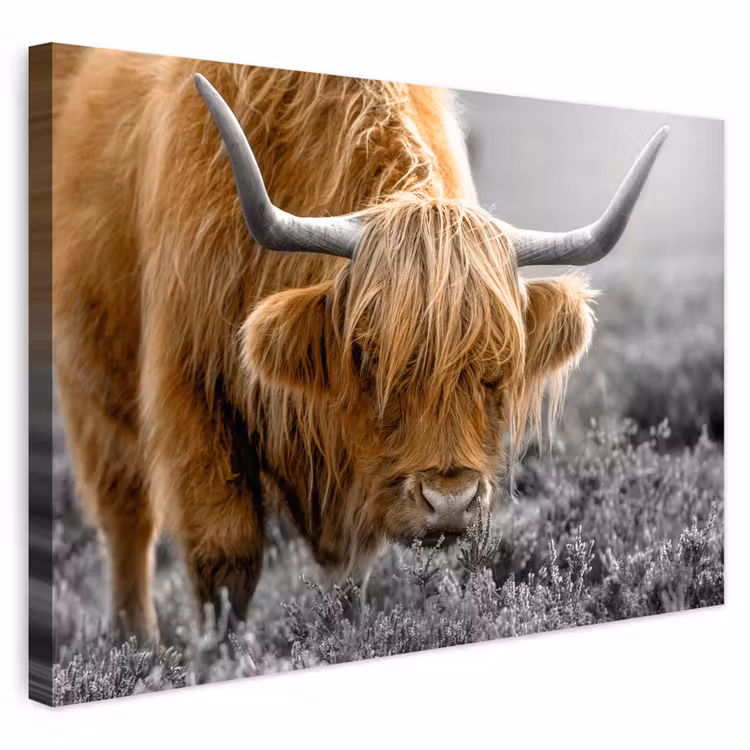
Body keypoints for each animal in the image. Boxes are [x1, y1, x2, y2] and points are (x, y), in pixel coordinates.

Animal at [51, 45, 668, 642]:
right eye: (370, 357)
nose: (450, 502)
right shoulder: (195, 392)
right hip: (93, 390)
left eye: (497, 366)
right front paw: (220, 661)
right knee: (127, 519)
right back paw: (137, 644)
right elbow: (224, 559)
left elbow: (351, 577)